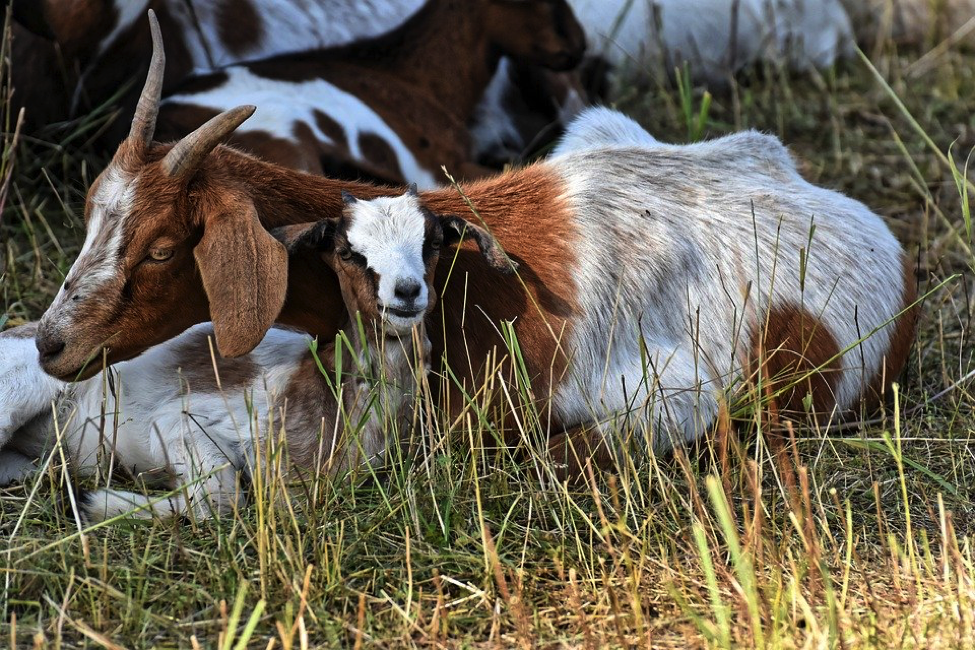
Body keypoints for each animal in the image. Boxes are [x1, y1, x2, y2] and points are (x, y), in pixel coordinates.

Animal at [0, 187, 499, 521]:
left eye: (433, 242)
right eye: (346, 250)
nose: (407, 293)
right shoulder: (181, 422)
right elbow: (223, 501)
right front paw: (91, 501)